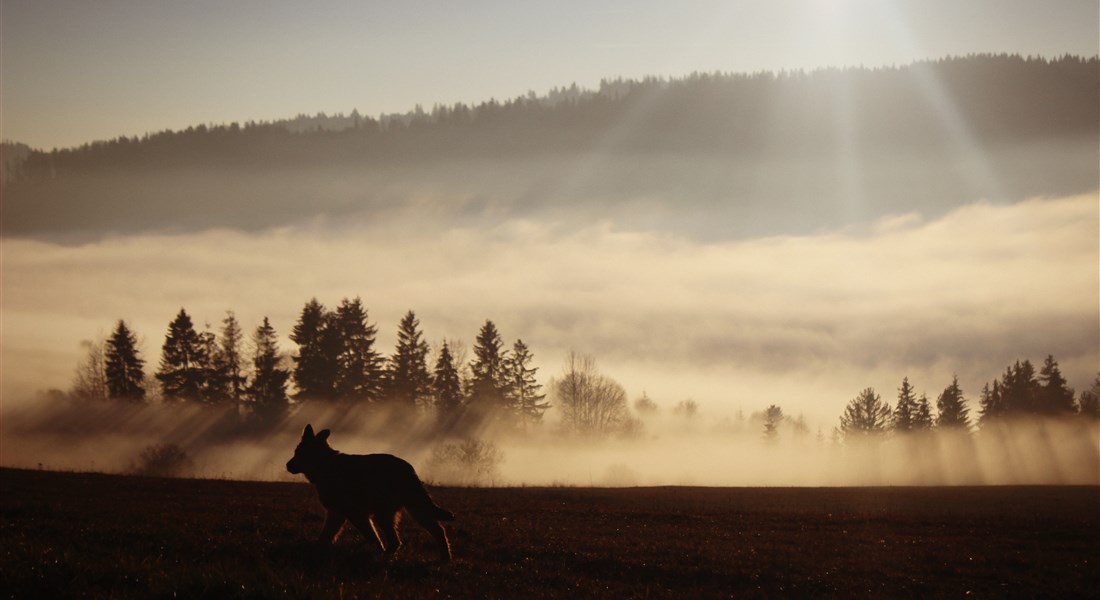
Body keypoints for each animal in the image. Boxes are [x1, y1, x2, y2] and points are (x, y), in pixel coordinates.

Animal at [288, 422, 455, 559]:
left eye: (297, 453)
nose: (287, 465)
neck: (324, 463)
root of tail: (408, 468)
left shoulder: (356, 515)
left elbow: (373, 538)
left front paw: (378, 551)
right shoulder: (336, 514)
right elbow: (324, 538)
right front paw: (315, 552)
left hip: (384, 514)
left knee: (396, 541)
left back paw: (385, 558)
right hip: (415, 509)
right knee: (438, 531)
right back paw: (445, 560)